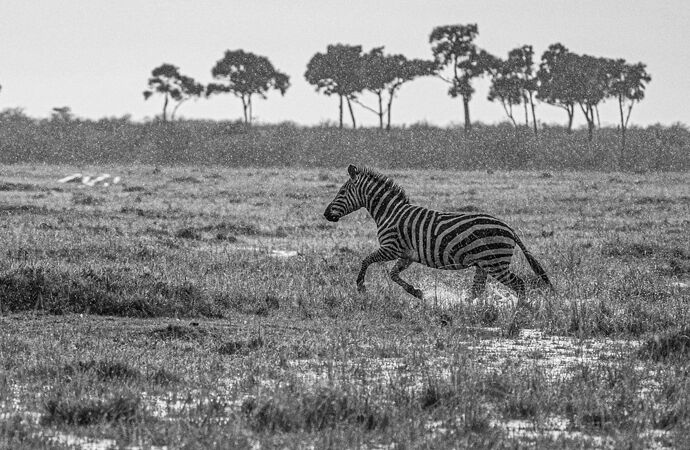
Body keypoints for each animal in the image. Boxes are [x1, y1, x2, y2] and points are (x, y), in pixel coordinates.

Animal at [322, 163, 552, 304]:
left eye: (341, 192)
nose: (325, 214)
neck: (390, 213)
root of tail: (509, 228)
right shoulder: (406, 255)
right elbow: (393, 274)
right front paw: (417, 293)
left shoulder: (390, 248)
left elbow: (366, 260)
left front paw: (361, 286)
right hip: (484, 264)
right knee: (478, 290)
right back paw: (462, 306)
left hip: (495, 263)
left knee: (518, 284)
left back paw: (520, 309)